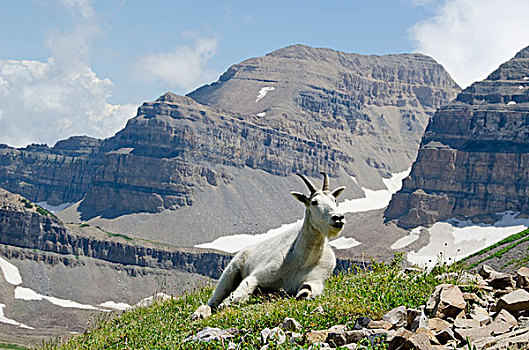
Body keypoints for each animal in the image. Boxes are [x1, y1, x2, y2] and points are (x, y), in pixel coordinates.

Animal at [192, 173, 344, 320]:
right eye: (314, 202)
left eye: (334, 200)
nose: (338, 218)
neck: (303, 258)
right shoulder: (259, 275)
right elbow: (238, 295)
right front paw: (225, 304)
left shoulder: (317, 278)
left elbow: (308, 291)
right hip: (231, 271)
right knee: (214, 299)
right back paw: (200, 313)